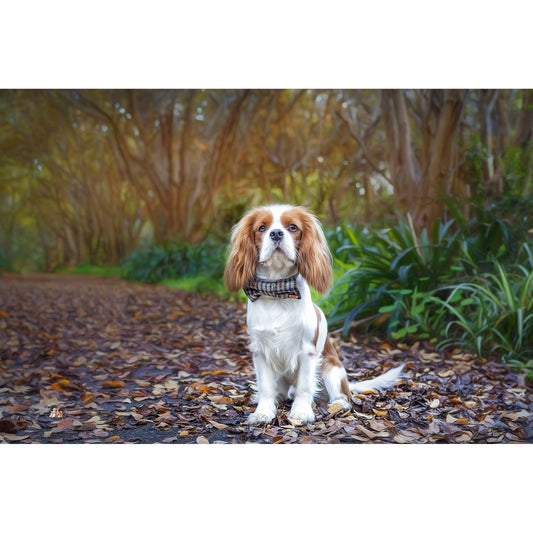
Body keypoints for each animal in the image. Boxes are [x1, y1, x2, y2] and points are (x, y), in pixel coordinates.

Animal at [222, 205, 402, 424]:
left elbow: (305, 386)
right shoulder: (260, 351)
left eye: (292, 227)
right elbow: (265, 387)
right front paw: (263, 411)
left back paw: (336, 405)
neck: (277, 291)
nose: (276, 233)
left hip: (331, 368)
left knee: (344, 397)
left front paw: (301, 412)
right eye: (262, 228)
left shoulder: (307, 351)